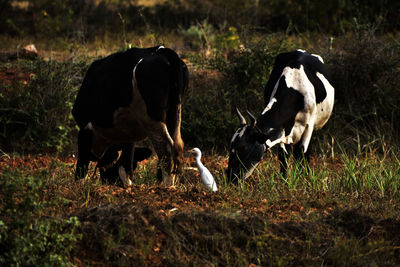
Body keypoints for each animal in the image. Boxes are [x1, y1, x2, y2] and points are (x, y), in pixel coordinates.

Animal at [71, 45, 188, 186]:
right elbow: (126, 163)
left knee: (166, 148)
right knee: (177, 146)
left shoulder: (85, 128)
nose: (107, 181)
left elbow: (82, 162)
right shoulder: (128, 133)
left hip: (152, 117)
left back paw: (166, 185)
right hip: (175, 112)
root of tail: (161, 50)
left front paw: (79, 184)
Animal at [228, 49, 334, 182]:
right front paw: (284, 181)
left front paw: (302, 179)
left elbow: (301, 152)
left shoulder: (309, 126)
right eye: (230, 146)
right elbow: (283, 156)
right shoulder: (282, 130)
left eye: (242, 148)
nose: (230, 177)